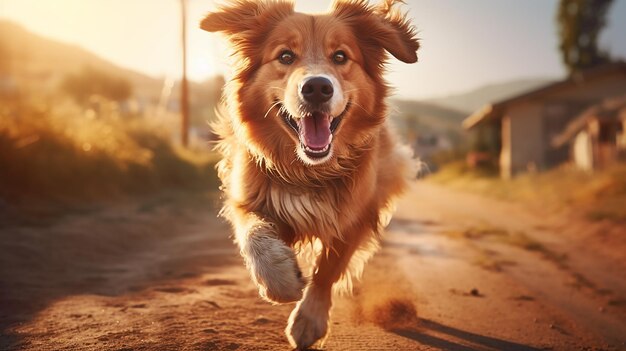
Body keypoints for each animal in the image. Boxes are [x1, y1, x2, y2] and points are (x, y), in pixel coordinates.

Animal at [200, 1, 420, 350]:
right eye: (286, 56)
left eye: (340, 56)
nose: (317, 87)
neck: (308, 170)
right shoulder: (247, 198)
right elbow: (253, 235)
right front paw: (280, 280)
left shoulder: (356, 215)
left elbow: (328, 269)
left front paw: (309, 320)